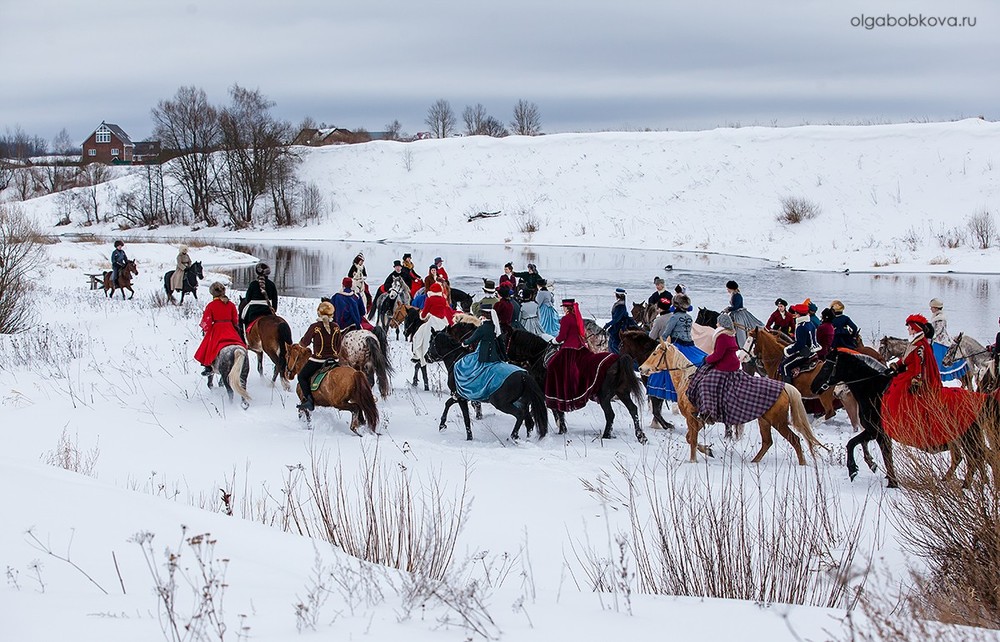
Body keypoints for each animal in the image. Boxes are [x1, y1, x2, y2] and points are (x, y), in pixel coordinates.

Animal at [640, 340, 828, 464]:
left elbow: (691, 439)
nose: (642, 368)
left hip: (778, 421)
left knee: (795, 440)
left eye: (655, 353)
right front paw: (707, 450)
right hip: (764, 420)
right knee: (767, 442)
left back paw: (802, 464)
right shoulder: (696, 419)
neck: (687, 380)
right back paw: (754, 462)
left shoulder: (691, 417)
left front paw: (693, 460)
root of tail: (784, 387)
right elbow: (689, 438)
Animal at [816, 348, 996, 488]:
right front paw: (871, 467)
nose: (815, 386)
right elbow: (860, 445)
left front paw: (884, 479)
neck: (874, 390)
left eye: (827, 366)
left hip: (967, 438)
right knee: (978, 458)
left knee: (975, 459)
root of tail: (981, 399)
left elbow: (861, 447)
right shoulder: (875, 432)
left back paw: (966, 485)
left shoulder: (877, 432)